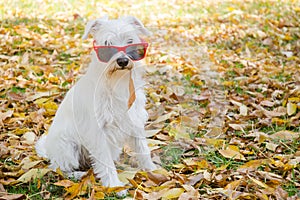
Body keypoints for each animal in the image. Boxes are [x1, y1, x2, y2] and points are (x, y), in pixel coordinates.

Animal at [35, 15, 155, 194]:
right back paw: (78, 175)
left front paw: (153, 171)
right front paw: (114, 185)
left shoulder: (134, 121)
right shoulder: (98, 131)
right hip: (67, 146)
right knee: (59, 167)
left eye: (130, 41)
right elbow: (105, 162)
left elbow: (143, 149)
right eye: (107, 44)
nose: (122, 61)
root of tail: (49, 151)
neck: (115, 81)